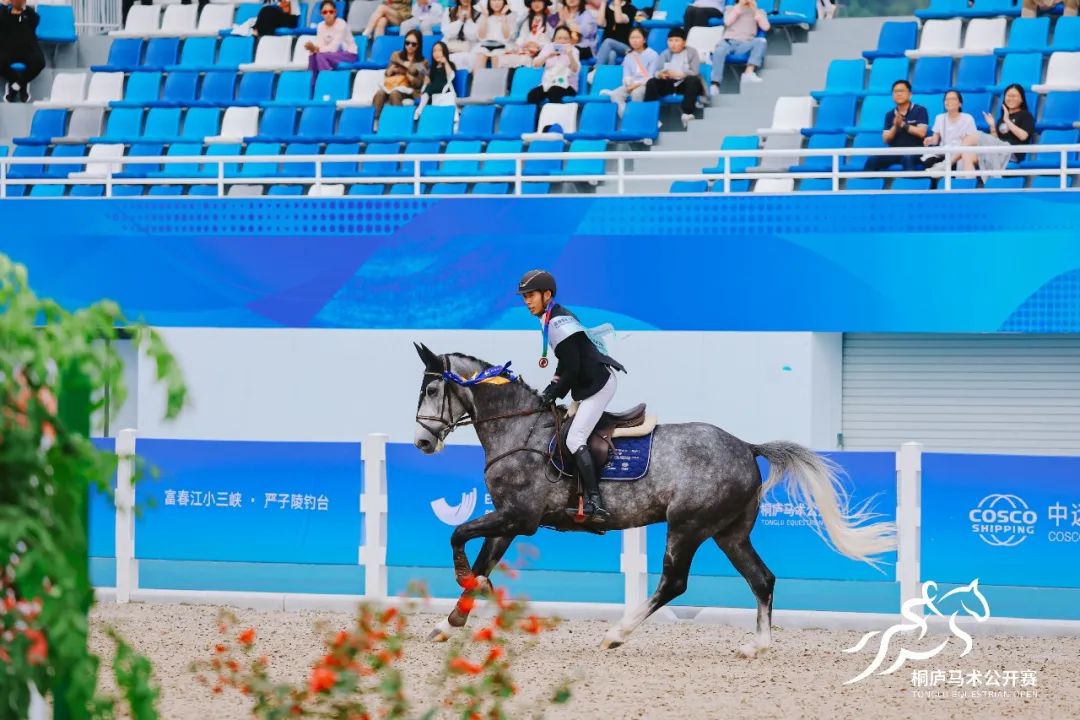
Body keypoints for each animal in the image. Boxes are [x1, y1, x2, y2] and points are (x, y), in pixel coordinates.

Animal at [412, 345, 894, 656]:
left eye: (433, 391)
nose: (421, 442)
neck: (520, 429)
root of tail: (745, 446)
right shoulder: (508, 519)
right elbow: (483, 562)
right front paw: (447, 623)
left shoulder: (519, 517)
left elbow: (459, 538)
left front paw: (461, 587)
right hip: (729, 533)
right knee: (762, 579)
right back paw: (757, 645)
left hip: (687, 525)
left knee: (674, 582)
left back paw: (617, 634)